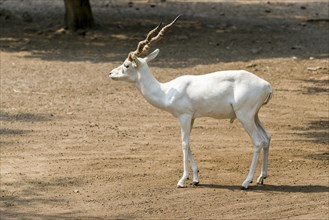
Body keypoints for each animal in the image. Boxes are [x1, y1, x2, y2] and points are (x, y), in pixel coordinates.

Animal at [109, 16, 272, 189]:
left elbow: (184, 143)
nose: (111, 73)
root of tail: (266, 85)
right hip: (254, 116)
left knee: (257, 142)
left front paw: (182, 180)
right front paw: (195, 178)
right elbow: (189, 143)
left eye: (126, 65)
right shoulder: (191, 118)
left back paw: (246, 182)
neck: (166, 91)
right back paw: (261, 177)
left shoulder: (184, 116)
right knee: (266, 138)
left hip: (245, 116)